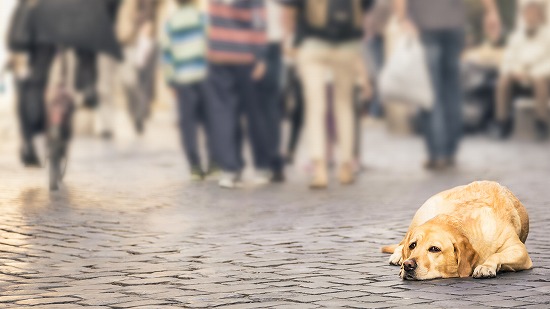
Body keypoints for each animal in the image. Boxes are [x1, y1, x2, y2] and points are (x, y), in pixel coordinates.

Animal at [384, 180, 536, 280]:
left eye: (434, 249)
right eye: (413, 245)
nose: (408, 264)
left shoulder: (519, 250)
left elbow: (497, 255)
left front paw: (486, 266)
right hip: (424, 213)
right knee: (401, 243)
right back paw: (398, 256)